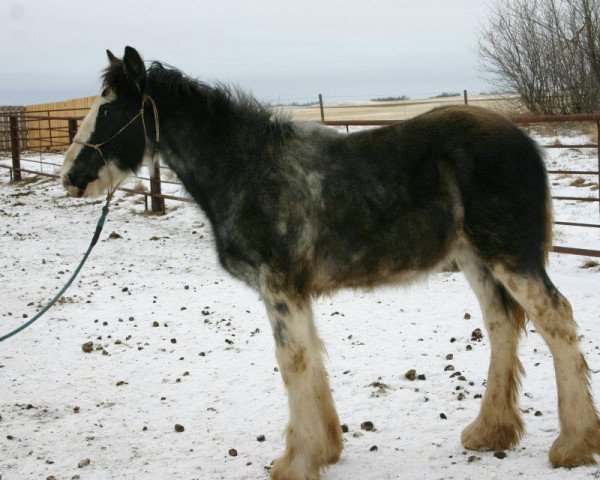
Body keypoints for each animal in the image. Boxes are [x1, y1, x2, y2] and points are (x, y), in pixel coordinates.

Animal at [61, 46, 600, 480]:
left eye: (110, 108)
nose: (71, 176)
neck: (247, 169)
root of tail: (526, 143)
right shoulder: (294, 292)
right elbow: (311, 360)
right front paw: (325, 451)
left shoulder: (279, 287)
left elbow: (292, 363)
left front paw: (296, 462)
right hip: (476, 259)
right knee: (502, 324)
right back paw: (490, 432)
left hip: (509, 256)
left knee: (556, 319)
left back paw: (573, 445)